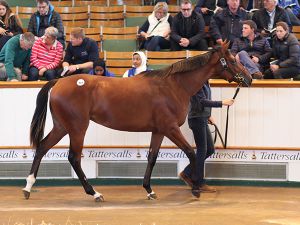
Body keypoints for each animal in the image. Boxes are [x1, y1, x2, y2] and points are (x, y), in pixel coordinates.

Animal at [22, 41, 251, 200]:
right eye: (232, 60)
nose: (249, 78)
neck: (174, 86)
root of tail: (58, 82)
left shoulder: (158, 131)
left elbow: (152, 157)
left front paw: (149, 190)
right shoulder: (171, 129)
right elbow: (192, 153)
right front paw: (195, 188)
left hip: (62, 127)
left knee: (42, 147)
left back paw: (28, 187)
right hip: (78, 128)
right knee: (74, 158)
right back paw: (94, 193)